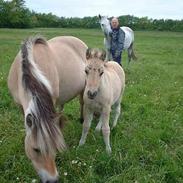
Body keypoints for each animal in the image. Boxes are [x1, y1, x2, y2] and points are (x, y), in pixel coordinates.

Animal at [8, 36, 88, 183]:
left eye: (55, 148)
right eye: (36, 149)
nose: (53, 180)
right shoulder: (20, 106)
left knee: (82, 102)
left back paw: (81, 119)